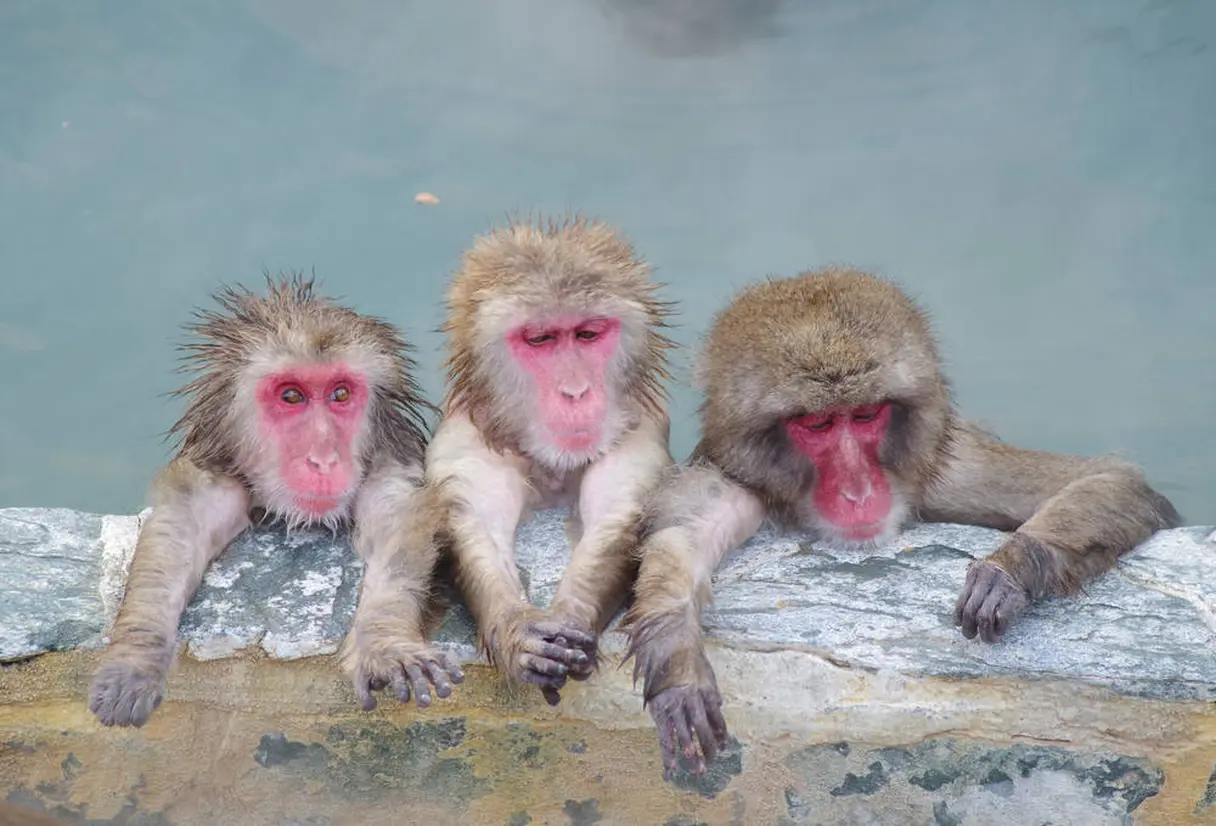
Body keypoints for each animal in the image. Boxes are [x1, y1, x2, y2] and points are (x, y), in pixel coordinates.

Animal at [86, 274, 464, 725]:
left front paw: (385, 642)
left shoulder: (385, 462)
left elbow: (398, 519)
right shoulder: (222, 471)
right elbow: (182, 525)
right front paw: (136, 656)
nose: (324, 459)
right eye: (291, 397)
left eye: (340, 394)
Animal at [423, 212, 676, 705]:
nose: (575, 392)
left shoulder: (638, 433)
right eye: (541, 339)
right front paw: (519, 631)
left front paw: (572, 616)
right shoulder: (466, 442)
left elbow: (615, 516)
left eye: (587, 334)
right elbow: (477, 524)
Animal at [622, 267, 1181, 778]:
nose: (859, 492)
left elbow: (1113, 480)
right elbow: (683, 533)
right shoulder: (740, 483)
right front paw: (674, 651)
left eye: (866, 415)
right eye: (818, 424)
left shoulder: (946, 473)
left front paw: (1008, 571)